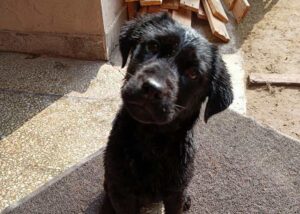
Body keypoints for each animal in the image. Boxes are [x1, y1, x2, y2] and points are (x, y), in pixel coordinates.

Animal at [102, 12, 233, 213]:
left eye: (193, 73)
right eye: (153, 46)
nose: (152, 88)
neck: (152, 141)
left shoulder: (175, 194)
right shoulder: (122, 191)